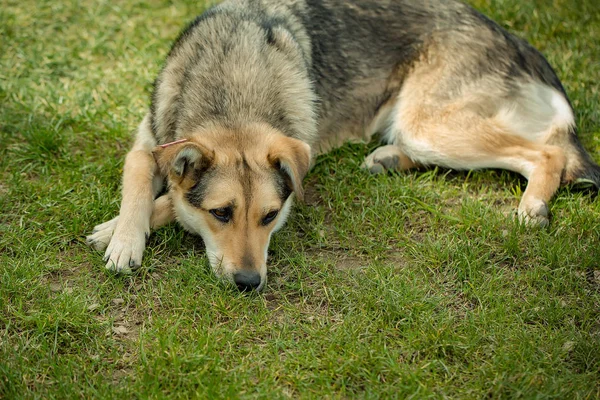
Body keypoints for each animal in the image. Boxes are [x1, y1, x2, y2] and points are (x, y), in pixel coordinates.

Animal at [86, 0, 596, 290]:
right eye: (221, 214)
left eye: (270, 217)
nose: (249, 283)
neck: (232, 93)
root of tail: (508, 35)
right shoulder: (148, 142)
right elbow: (140, 182)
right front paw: (124, 236)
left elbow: (170, 200)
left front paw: (119, 231)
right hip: (421, 127)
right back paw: (389, 158)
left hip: (428, 125)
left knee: (549, 150)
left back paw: (532, 206)